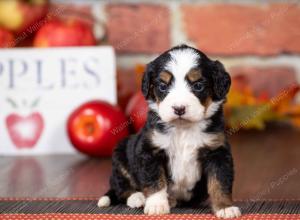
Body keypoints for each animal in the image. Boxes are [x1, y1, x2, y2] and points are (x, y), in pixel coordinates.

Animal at [98, 44, 241, 218]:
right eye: (162, 86)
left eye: (198, 86)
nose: (179, 108)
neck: (183, 128)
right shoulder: (150, 150)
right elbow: (155, 181)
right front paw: (157, 205)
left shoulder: (217, 151)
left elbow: (220, 182)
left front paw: (225, 208)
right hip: (121, 154)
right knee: (121, 186)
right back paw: (138, 198)